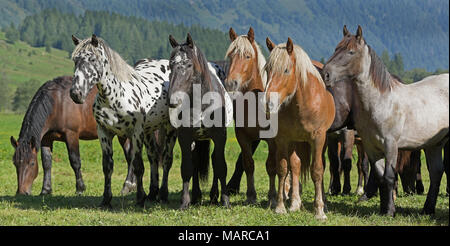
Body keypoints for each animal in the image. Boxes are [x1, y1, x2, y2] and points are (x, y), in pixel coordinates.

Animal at [69, 34, 177, 208]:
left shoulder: (136, 133)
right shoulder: (104, 132)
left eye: (92, 59)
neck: (115, 97)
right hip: (149, 131)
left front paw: (139, 198)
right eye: (75, 60)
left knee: (167, 159)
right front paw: (106, 199)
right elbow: (107, 166)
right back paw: (152, 194)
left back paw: (163, 194)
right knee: (153, 156)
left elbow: (138, 165)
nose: (75, 94)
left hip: (169, 128)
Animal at [167, 33, 234, 209]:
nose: (173, 100)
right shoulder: (185, 137)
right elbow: (187, 167)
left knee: (215, 160)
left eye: (189, 64)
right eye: (170, 65)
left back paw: (214, 195)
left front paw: (225, 201)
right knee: (196, 161)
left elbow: (220, 166)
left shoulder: (220, 137)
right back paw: (197, 196)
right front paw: (185, 202)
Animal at [264, 37, 334, 219]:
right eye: (267, 69)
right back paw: (295, 203)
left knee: (321, 166)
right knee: (295, 166)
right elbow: (283, 169)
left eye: (286, 70)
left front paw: (319, 211)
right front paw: (280, 207)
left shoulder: (318, 139)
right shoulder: (283, 139)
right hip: (295, 141)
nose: (268, 103)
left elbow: (317, 170)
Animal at [322, 26, 448, 216]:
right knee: (436, 173)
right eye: (336, 48)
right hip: (434, 144)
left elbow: (389, 176)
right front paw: (383, 208)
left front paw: (389, 211)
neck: (382, 102)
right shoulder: (371, 147)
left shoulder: (390, 145)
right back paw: (427, 209)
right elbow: (380, 176)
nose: (325, 74)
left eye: (351, 52)